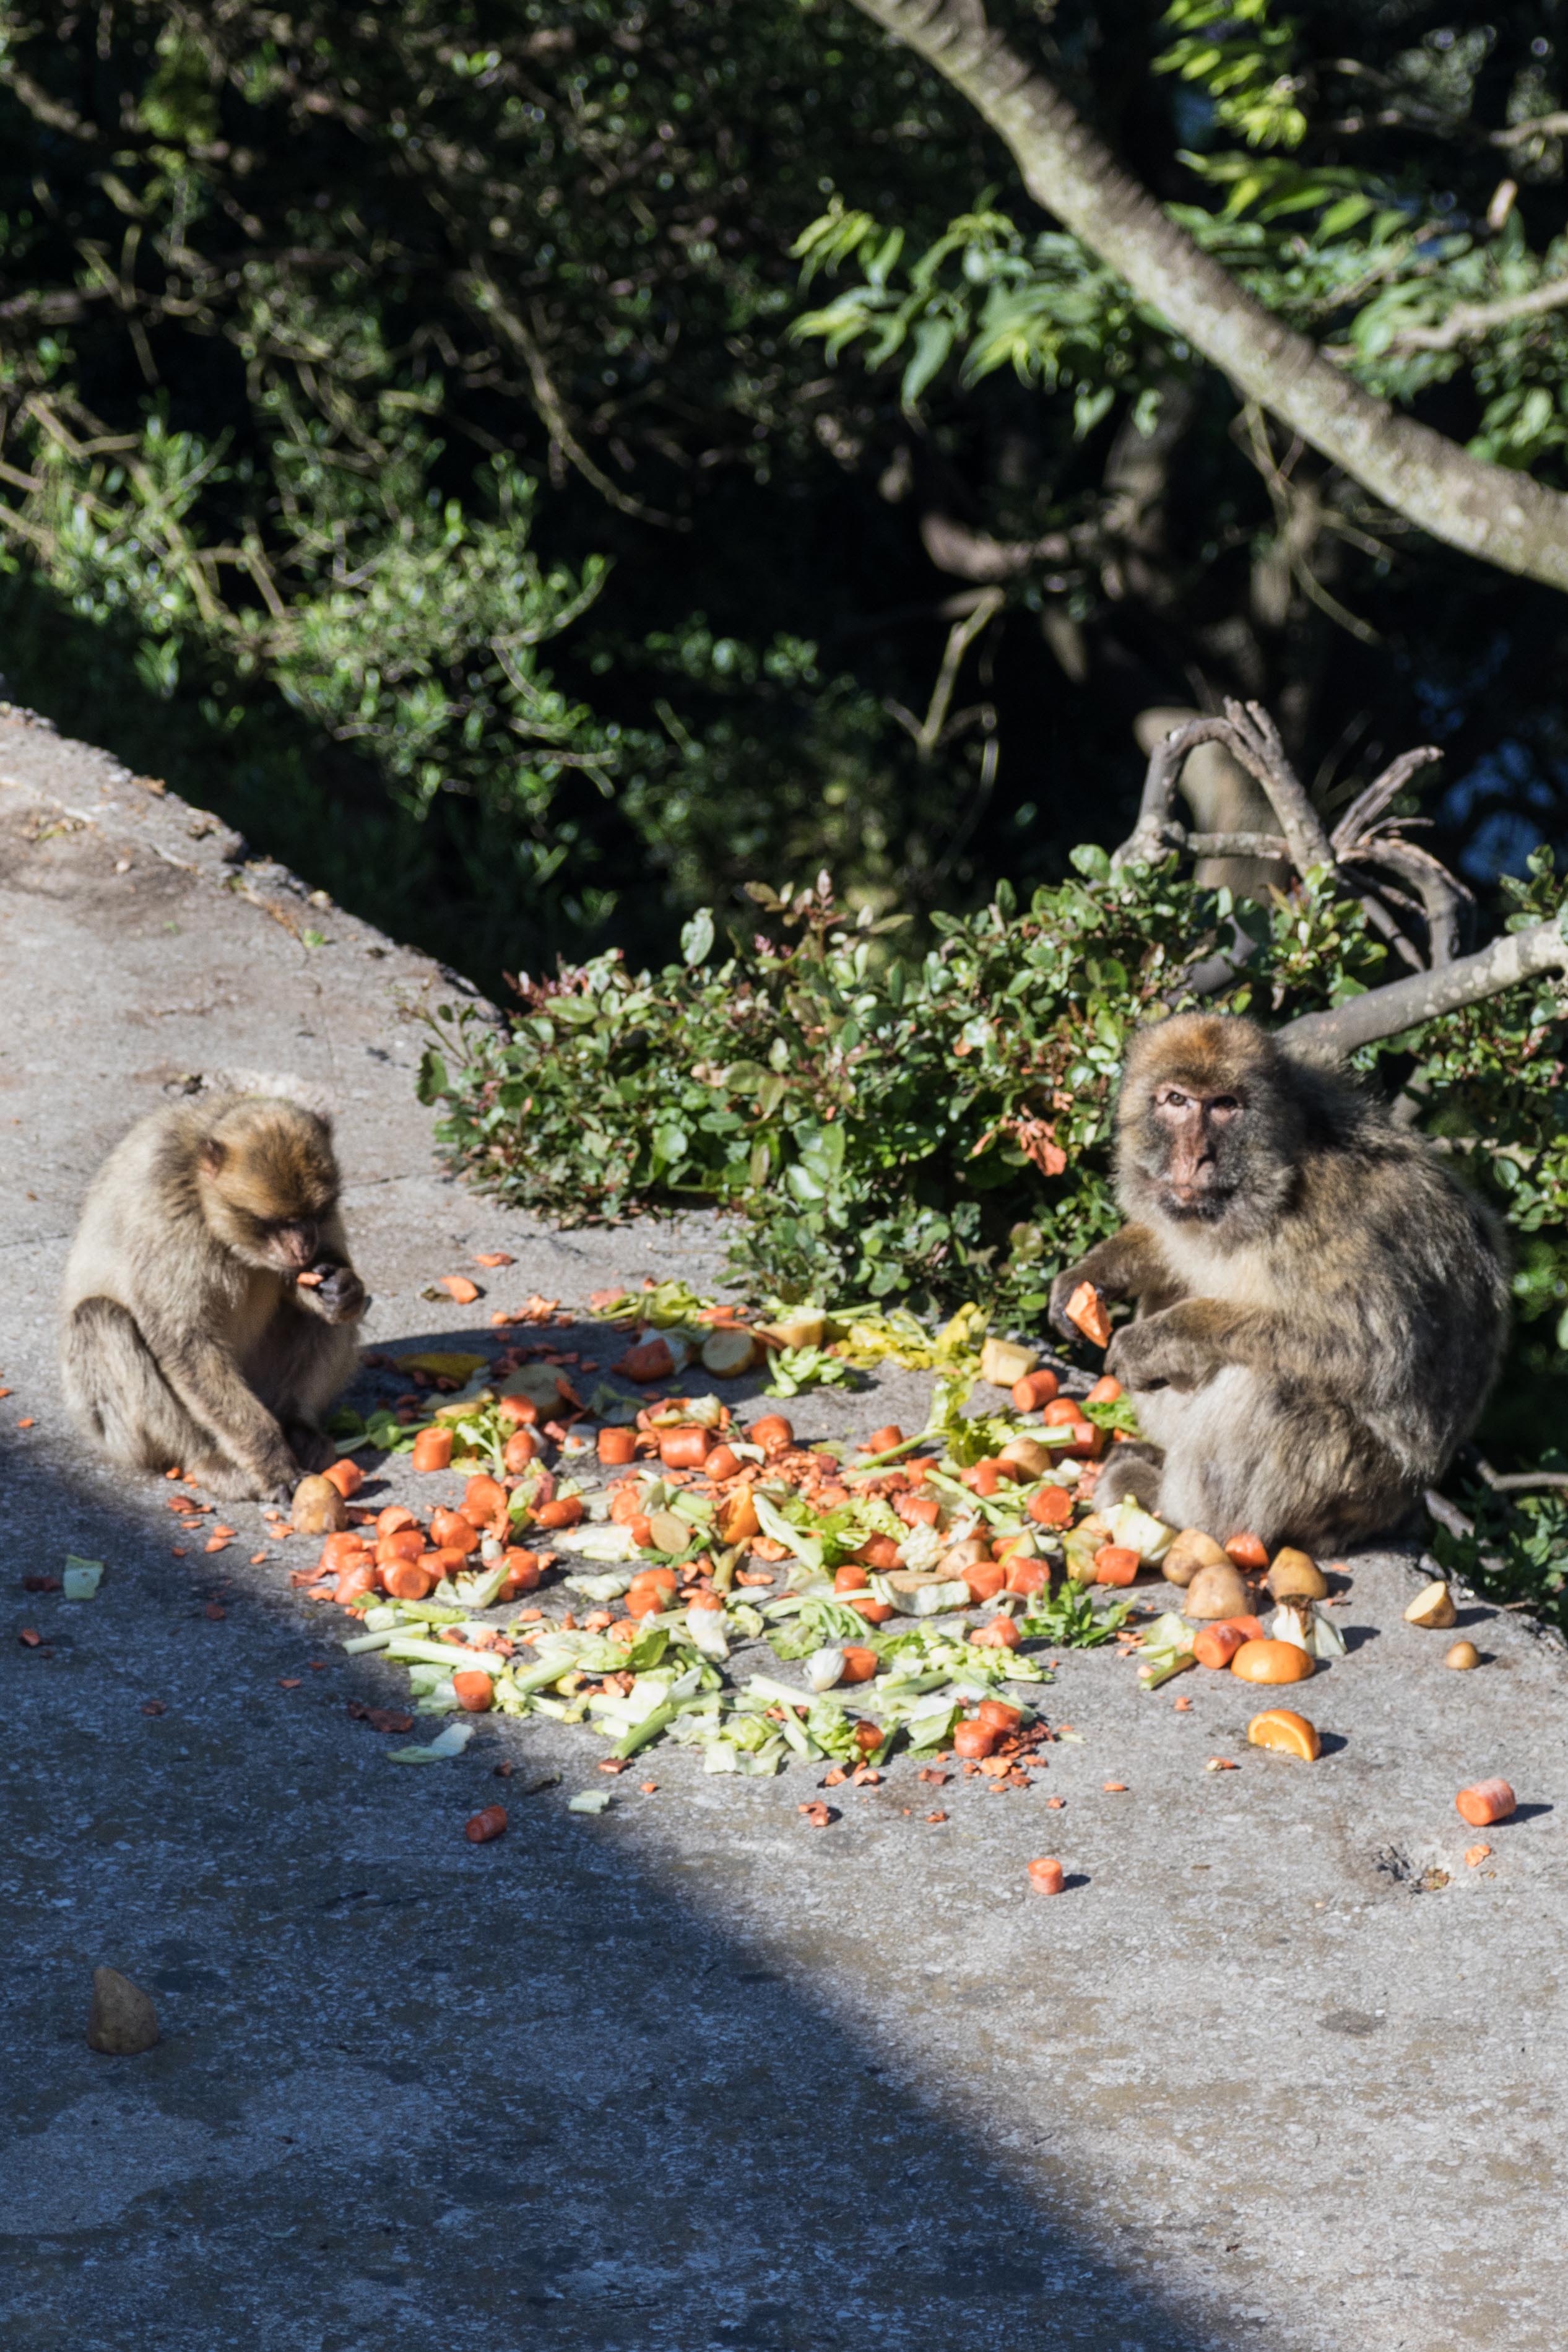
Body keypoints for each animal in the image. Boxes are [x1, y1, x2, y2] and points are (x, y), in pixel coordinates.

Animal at [61, 1091, 369, 1496]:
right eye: (276, 1223)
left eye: (315, 1214)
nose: (304, 1246)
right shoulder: (169, 1212)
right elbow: (185, 1342)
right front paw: (273, 1462)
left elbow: (316, 1282)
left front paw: (341, 1288)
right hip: (112, 1429)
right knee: (99, 1316)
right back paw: (205, 1457)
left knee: (331, 1319)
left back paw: (297, 1424)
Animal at [1053, 1016, 1504, 1552]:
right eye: (1176, 1100)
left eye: (1224, 1105)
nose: (1196, 1158)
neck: (1273, 1179)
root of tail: (1403, 1506)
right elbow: (1174, 1247)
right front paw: (1090, 1275)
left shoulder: (1338, 1221)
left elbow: (1374, 1348)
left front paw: (1157, 1340)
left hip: (1353, 1491)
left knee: (1275, 1382)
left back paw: (1184, 1515)